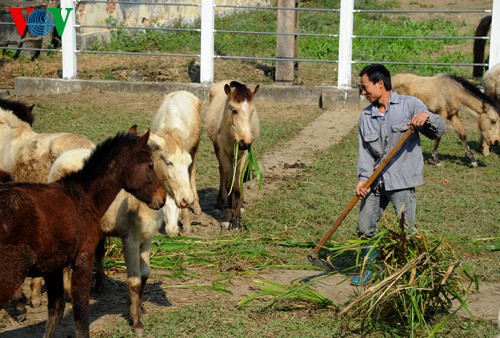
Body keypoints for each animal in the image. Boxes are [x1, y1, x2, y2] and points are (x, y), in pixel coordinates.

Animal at [0, 127, 168, 338]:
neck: (83, 196)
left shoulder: (54, 267)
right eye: (150, 165)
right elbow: (81, 314)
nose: (162, 198)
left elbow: (56, 311)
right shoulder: (83, 259)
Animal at [205, 79, 262, 228]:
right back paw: (219, 203)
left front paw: (236, 219)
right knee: (223, 173)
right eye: (234, 110)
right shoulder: (223, 153)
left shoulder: (244, 154)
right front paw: (228, 216)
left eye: (252, 111)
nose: (245, 142)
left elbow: (238, 186)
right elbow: (229, 183)